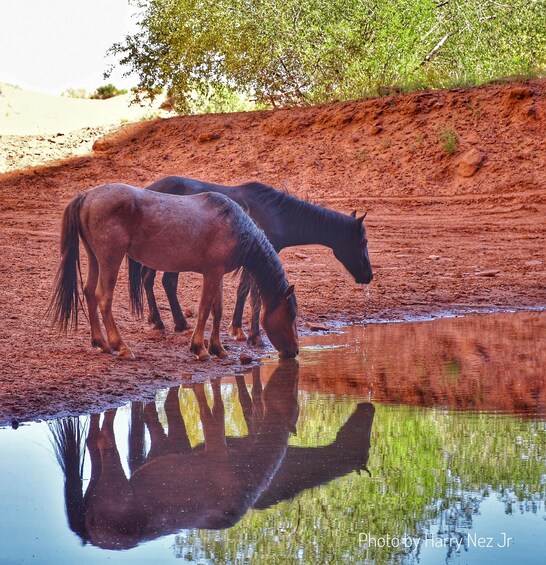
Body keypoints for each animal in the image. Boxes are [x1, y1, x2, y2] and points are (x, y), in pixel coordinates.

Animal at [47, 185, 298, 362]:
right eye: (291, 314)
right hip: (110, 259)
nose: (295, 351)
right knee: (103, 298)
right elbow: (205, 309)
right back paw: (121, 346)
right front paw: (200, 348)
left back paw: (101, 343)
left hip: (95, 258)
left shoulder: (216, 273)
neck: (234, 226)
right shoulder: (212, 273)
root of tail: (86, 196)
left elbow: (217, 310)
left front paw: (218, 349)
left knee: (89, 292)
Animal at [138, 176, 372, 344]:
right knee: (167, 282)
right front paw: (253, 334)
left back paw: (158, 321)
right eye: (363, 242)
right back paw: (178, 323)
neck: (278, 215)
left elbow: (244, 290)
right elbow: (254, 293)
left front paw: (238, 328)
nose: (369, 276)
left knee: (148, 279)